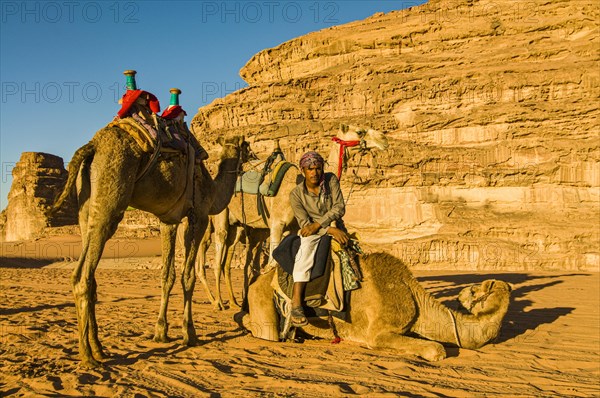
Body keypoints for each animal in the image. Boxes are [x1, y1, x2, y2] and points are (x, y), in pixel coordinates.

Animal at [48, 103, 251, 366]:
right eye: (247, 145)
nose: (255, 155)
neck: (213, 190)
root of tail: (91, 146)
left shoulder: (168, 221)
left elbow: (167, 276)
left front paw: (161, 332)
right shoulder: (199, 216)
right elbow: (188, 277)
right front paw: (189, 334)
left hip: (85, 206)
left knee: (87, 273)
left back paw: (100, 348)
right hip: (110, 197)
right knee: (83, 276)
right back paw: (88, 355)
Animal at [198, 125, 390, 310]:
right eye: (359, 131)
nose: (384, 140)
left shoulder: (294, 228)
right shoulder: (277, 223)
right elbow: (272, 263)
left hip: (238, 225)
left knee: (229, 260)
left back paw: (234, 302)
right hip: (221, 215)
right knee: (218, 256)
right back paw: (218, 303)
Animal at [237, 253, 512, 362]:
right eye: (475, 290)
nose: (463, 294)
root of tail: (258, 279)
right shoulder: (378, 333)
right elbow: (437, 350)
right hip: (261, 298)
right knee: (264, 330)